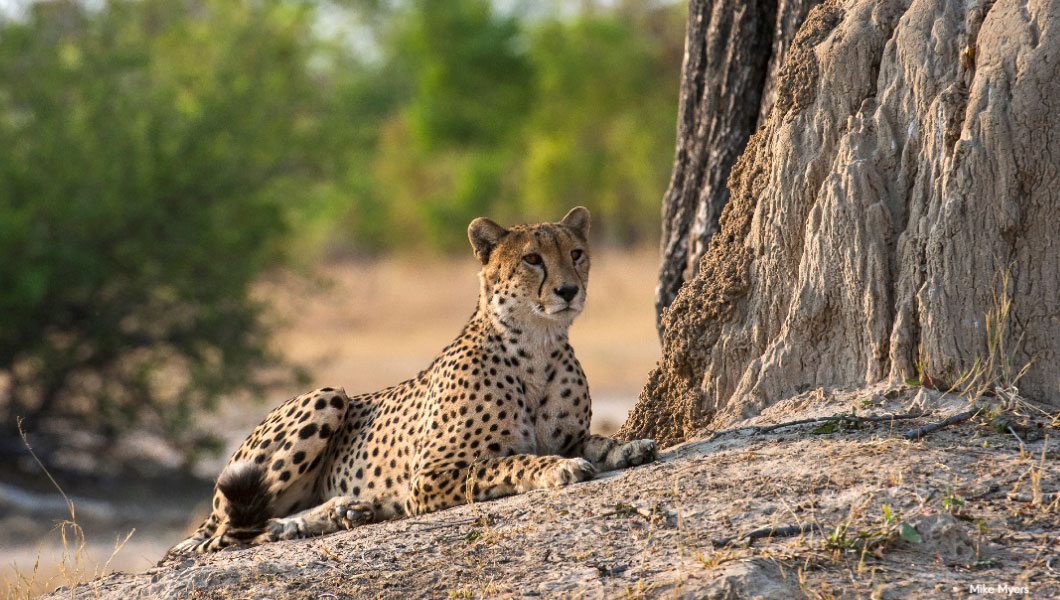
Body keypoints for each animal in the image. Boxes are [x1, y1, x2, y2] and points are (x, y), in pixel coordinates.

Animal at [169, 206, 652, 555]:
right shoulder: (429, 476)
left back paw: (341, 512)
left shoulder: (567, 435)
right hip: (327, 396)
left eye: (576, 254)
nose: (569, 291)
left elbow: (593, 440)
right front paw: (557, 468)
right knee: (226, 535)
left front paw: (627, 446)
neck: (536, 344)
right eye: (532, 259)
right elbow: (509, 461)